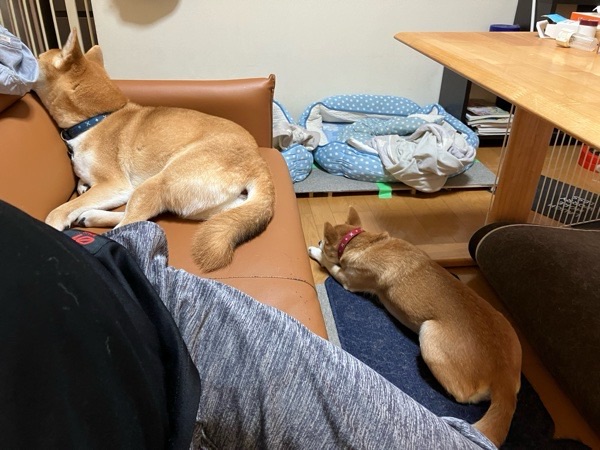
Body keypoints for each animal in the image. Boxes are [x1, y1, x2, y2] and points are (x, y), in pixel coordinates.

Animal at [33, 29, 275, 272]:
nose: (30, 57)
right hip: (213, 206)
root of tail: (258, 162)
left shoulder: (115, 186)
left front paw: (55, 223)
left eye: (38, 56)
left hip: (157, 183)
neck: (94, 120)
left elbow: (60, 210)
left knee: (129, 227)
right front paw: (82, 185)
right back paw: (91, 217)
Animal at [308, 207, 522, 447]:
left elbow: (330, 264)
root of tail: (504, 375)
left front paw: (315, 251)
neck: (363, 242)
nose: (318, 240)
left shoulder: (348, 279)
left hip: (428, 333)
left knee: (462, 395)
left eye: (325, 240)